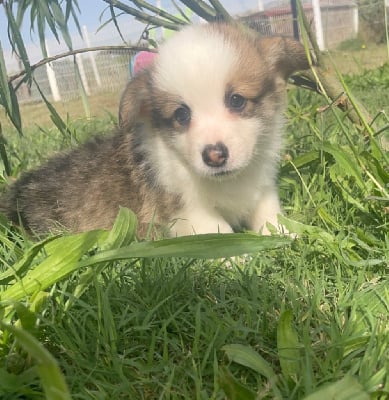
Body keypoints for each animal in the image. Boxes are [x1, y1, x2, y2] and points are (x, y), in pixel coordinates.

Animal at [0, 22, 310, 238]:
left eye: (236, 100)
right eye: (181, 114)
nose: (214, 156)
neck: (229, 182)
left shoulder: (263, 188)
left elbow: (271, 217)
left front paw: (288, 236)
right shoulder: (186, 211)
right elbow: (218, 230)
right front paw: (238, 258)